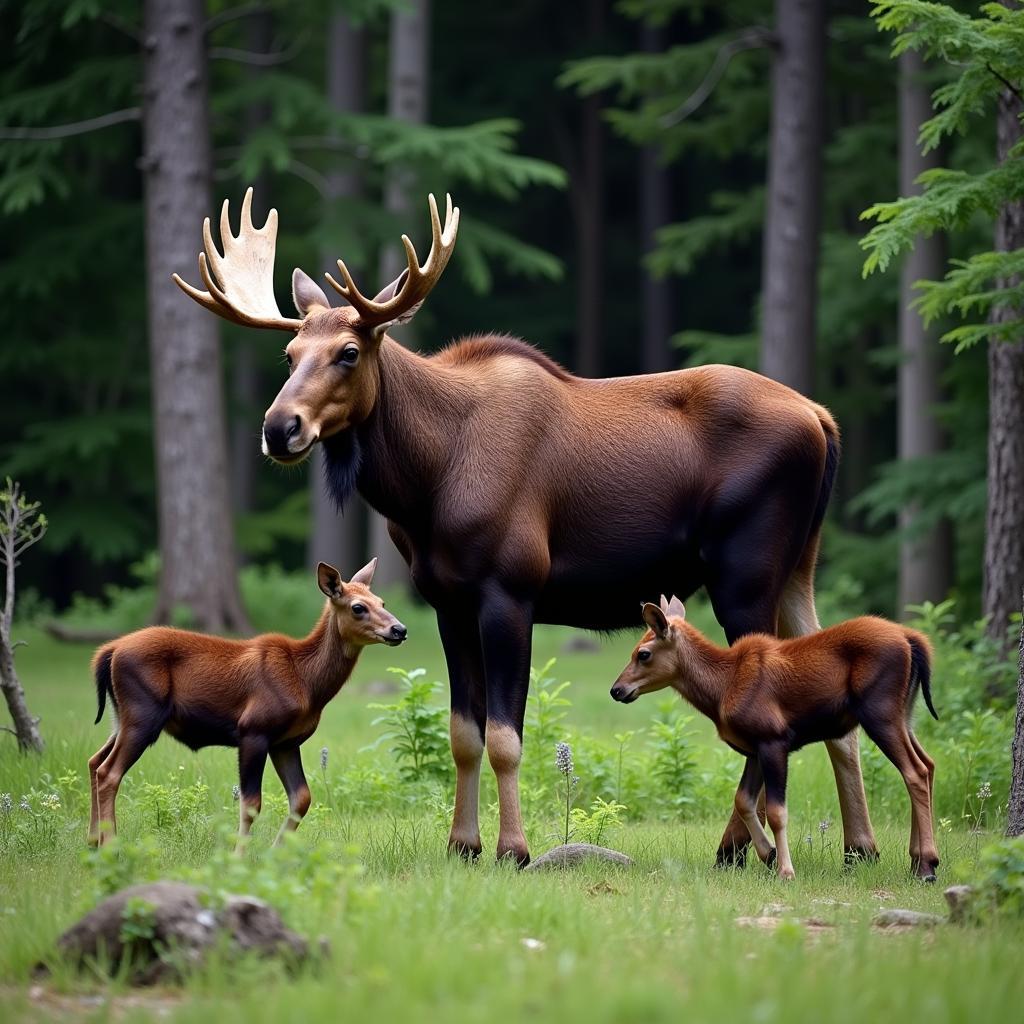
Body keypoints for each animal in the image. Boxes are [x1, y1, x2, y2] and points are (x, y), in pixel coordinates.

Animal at [88, 561, 405, 847]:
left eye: (382, 601)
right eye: (358, 607)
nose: (399, 629)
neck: (306, 681)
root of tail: (110, 651)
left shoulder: (286, 742)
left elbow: (301, 799)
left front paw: (276, 854)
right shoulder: (253, 729)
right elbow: (252, 803)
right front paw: (239, 857)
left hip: (123, 717)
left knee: (95, 761)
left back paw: (92, 841)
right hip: (143, 714)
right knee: (109, 772)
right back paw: (110, 846)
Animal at [172, 190, 876, 864]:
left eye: (348, 352)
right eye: (289, 352)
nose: (279, 427)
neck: (425, 483)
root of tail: (823, 420)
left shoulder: (509, 592)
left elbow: (507, 737)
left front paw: (513, 847)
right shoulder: (446, 603)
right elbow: (463, 734)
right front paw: (462, 843)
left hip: (744, 574)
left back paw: (738, 848)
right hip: (798, 568)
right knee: (835, 706)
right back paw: (859, 846)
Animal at [610, 598, 937, 884]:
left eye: (643, 653)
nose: (617, 689)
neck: (720, 690)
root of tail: (912, 640)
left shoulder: (773, 740)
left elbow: (777, 811)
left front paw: (786, 870)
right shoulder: (754, 749)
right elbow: (743, 800)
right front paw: (768, 854)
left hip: (879, 712)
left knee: (915, 771)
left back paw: (927, 866)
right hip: (903, 714)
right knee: (928, 764)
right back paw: (917, 860)